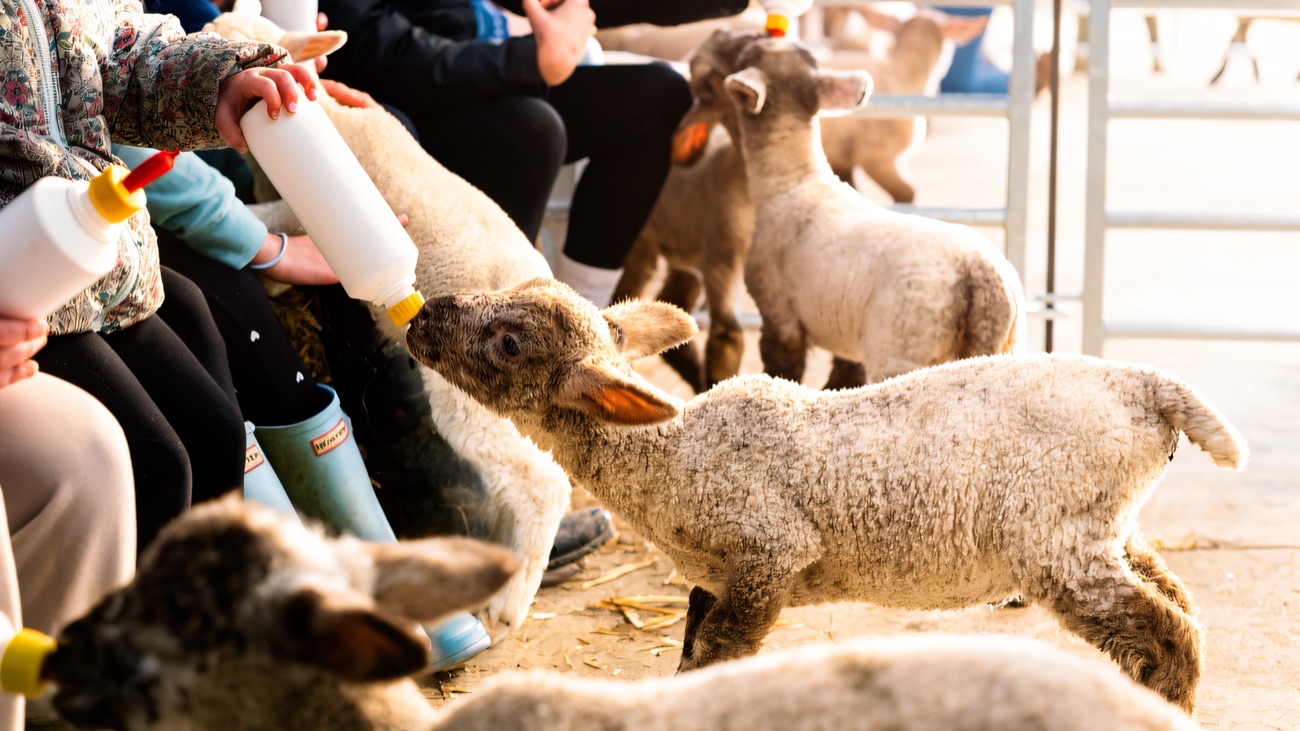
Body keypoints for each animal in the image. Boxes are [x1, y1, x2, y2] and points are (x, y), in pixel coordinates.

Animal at [203, 13, 574, 636]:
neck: (331, 116)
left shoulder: (294, 209)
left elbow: (266, 218)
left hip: (469, 392)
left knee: (544, 483)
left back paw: (508, 604)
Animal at [404, 276, 1248, 712]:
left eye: (509, 341)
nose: (427, 314)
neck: (667, 455)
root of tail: (1151, 387)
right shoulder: (714, 578)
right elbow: (694, 655)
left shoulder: (767, 555)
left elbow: (719, 658)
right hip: (1108, 524)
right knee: (1180, 607)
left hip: (1055, 540)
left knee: (1168, 633)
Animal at [727, 36, 1027, 388]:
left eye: (746, 51)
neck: (792, 178)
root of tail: (980, 273)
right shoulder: (846, 343)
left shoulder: (779, 316)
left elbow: (784, 372)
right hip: (1002, 345)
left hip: (904, 348)